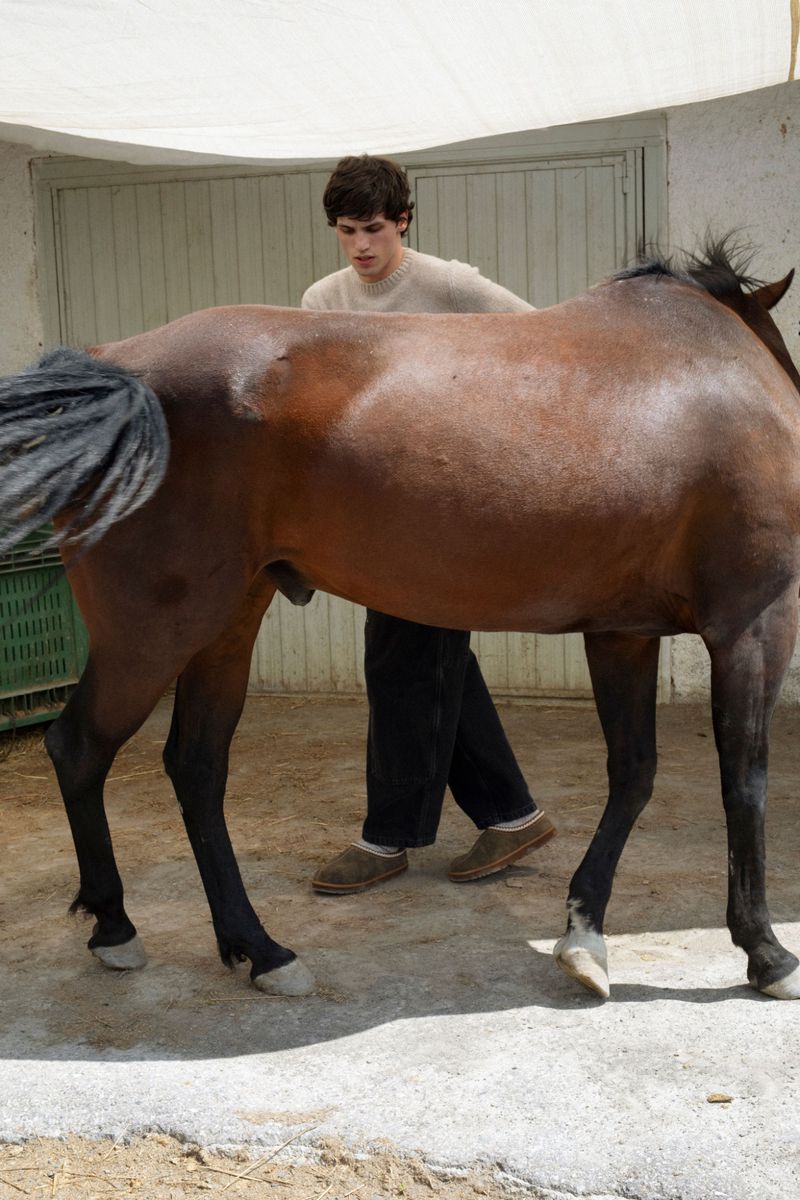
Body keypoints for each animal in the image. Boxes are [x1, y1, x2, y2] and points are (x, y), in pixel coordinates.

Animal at [2, 238, 800, 1001]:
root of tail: (113, 366)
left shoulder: (621, 634)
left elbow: (633, 775)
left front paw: (585, 934)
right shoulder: (753, 623)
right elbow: (746, 783)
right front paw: (765, 951)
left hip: (226, 623)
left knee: (196, 767)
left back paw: (257, 950)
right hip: (152, 632)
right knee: (79, 749)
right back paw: (117, 928)